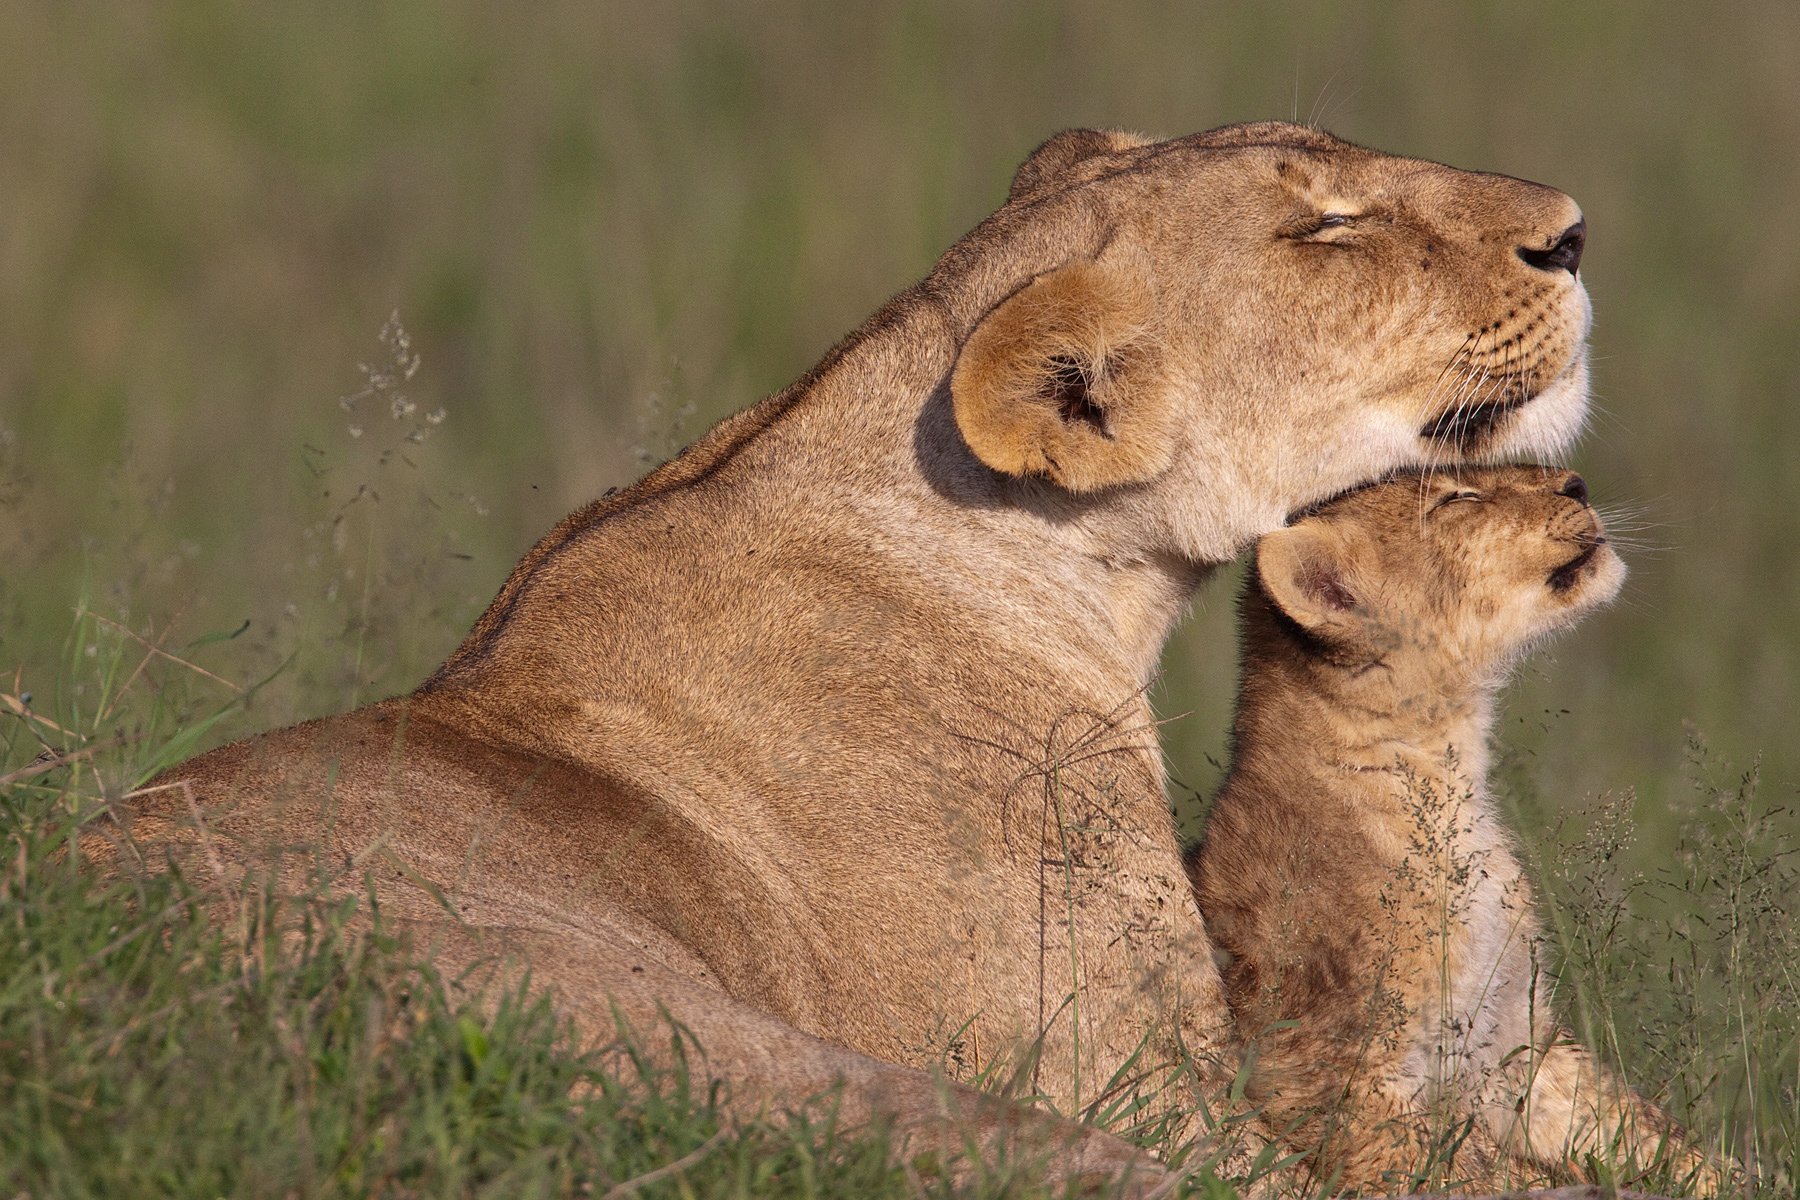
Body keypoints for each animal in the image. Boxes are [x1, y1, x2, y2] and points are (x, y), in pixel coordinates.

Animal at [1186, 466, 1709, 1192]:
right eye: (1456, 499)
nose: (1576, 483)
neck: (1448, 771)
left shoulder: (1513, 1038)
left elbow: (1632, 1123)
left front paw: (1741, 1178)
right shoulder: (1330, 1068)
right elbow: (1462, 1174)